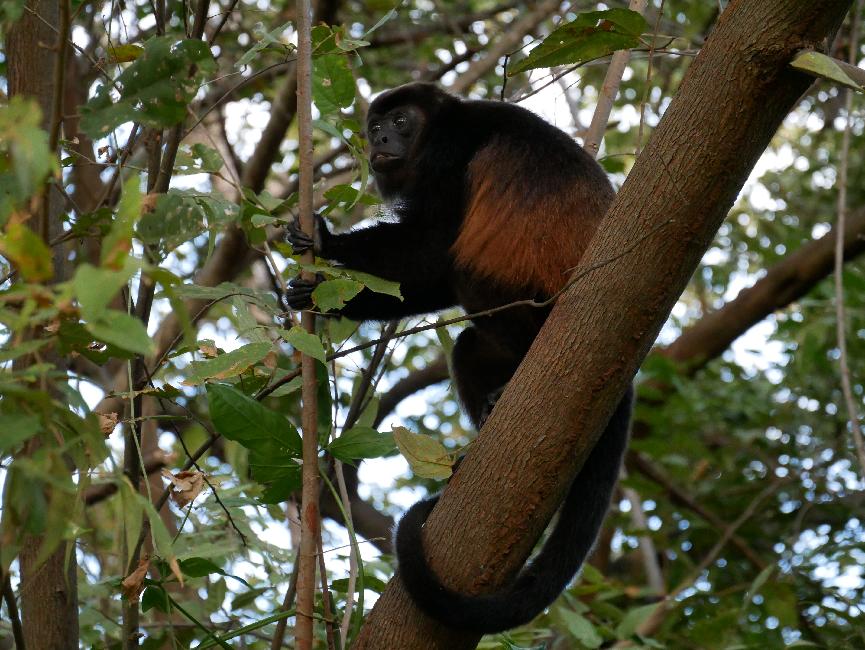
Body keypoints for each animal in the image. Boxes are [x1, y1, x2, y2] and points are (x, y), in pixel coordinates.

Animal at [286, 82, 633, 634]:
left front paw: (327, 241)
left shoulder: (450, 158)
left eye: (401, 121)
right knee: (469, 346)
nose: (380, 138)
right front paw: (315, 294)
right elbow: (429, 280)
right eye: (374, 125)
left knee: (472, 266)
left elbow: (432, 250)